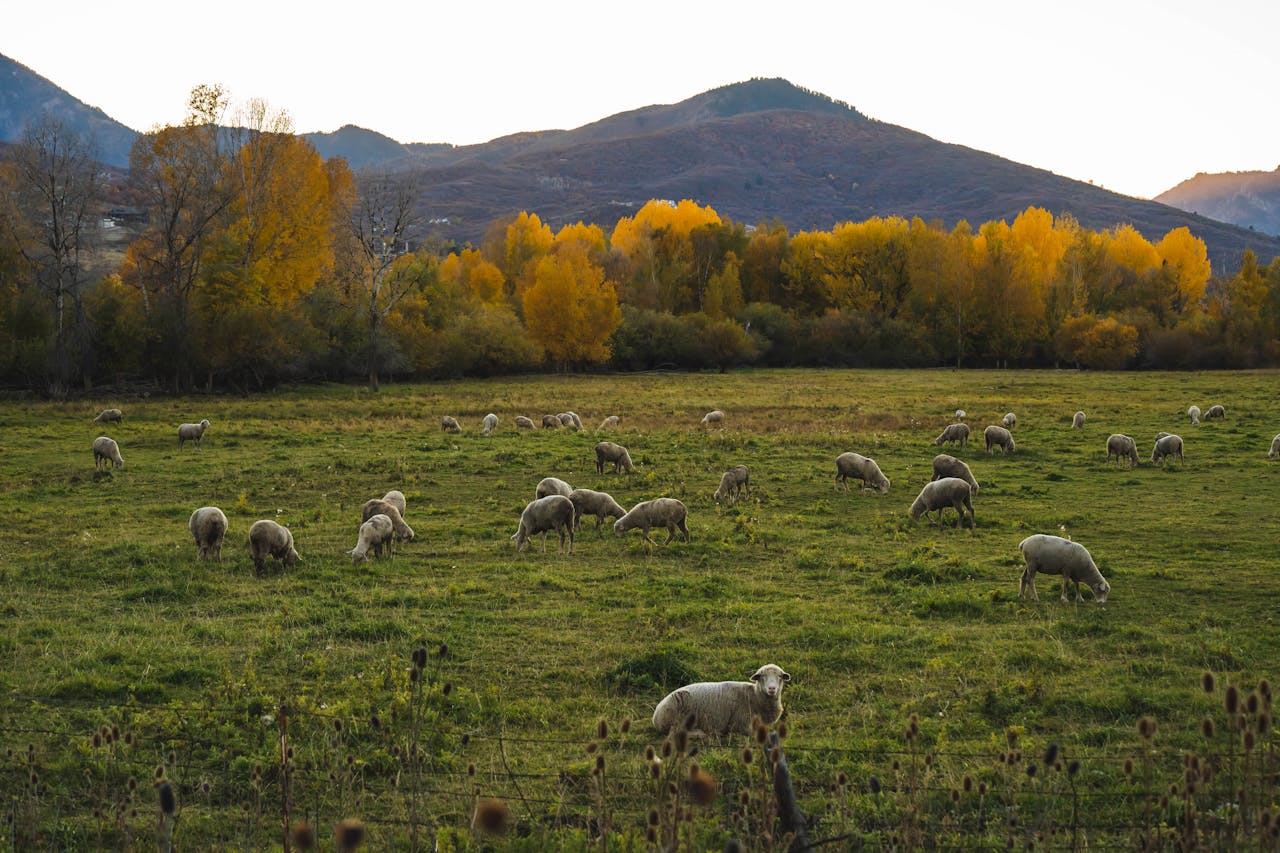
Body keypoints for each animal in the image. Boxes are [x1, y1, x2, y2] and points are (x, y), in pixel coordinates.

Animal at [650, 660, 788, 732]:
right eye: (762, 676)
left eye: (780, 676)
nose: (772, 688)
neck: (754, 696)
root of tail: (655, 716)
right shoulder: (741, 724)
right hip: (677, 718)